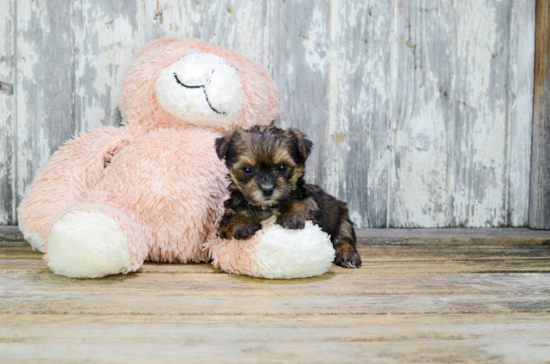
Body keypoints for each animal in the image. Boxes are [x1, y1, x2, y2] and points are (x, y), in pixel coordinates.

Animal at [216, 124, 362, 268]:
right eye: (247, 169)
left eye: (282, 167)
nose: (267, 189)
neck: (268, 206)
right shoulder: (225, 223)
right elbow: (233, 218)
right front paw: (243, 223)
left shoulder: (310, 202)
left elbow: (300, 205)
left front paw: (291, 216)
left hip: (342, 219)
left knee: (344, 238)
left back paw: (348, 256)